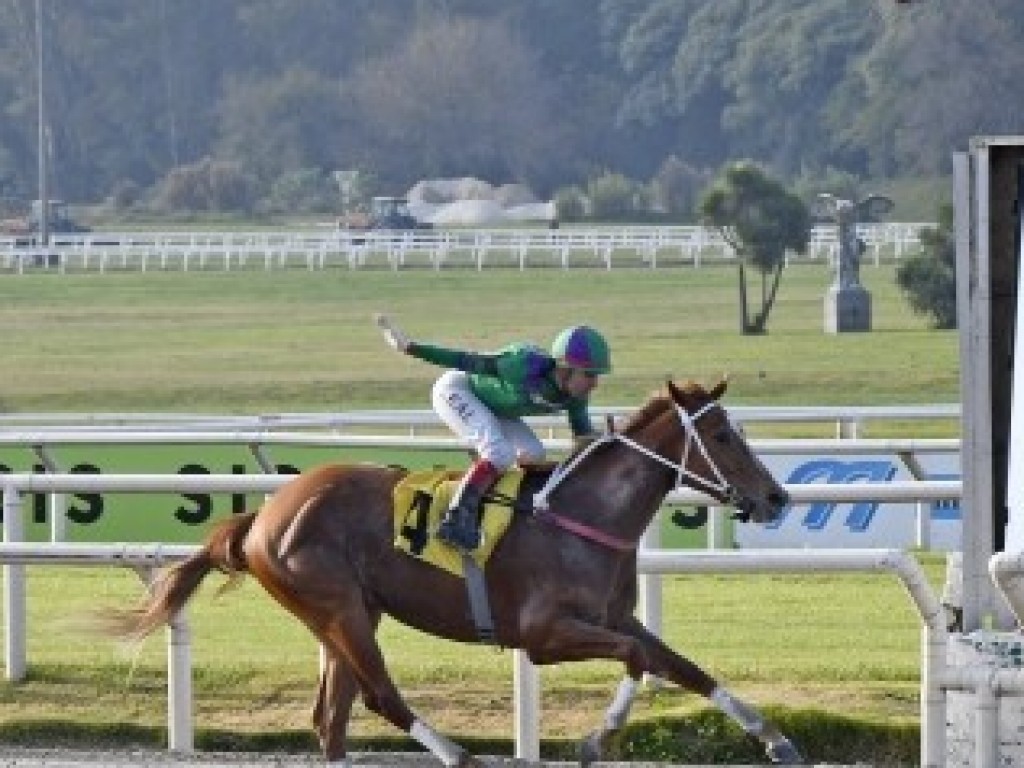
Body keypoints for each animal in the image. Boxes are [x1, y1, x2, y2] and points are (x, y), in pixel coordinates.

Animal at [108, 382, 802, 765]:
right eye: (721, 434)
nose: (775, 498)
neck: (580, 516)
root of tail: (264, 515)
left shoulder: (614, 616)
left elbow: (684, 666)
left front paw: (776, 740)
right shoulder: (543, 635)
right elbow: (637, 659)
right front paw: (595, 741)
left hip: (347, 615)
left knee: (332, 719)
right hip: (338, 606)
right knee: (380, 699)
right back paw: (463, 757)